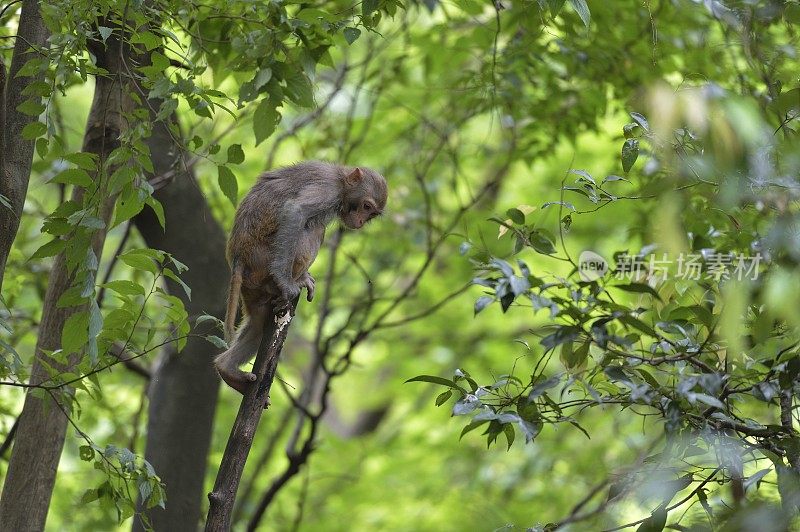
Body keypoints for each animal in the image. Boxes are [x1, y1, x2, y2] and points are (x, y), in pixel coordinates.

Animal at [212, 160, 388, 392]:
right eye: (366, 206)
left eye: (371, 214)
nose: (360, 222)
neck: (342, 180)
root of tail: (238, 258)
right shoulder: (328, 189)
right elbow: (295, 211)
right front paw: (285, 282)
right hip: (262, 258)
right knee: (314, 227)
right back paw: (291, 280)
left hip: (250, 285)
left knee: (258, 324)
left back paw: (227, 369)